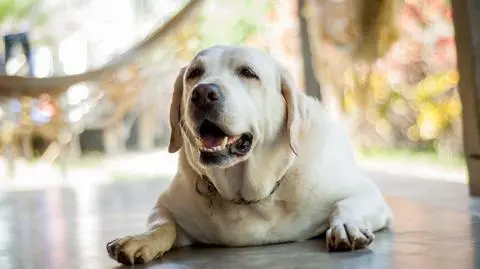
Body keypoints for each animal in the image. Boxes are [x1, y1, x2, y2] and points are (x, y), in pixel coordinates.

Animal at [107, 45, 392, 264]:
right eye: (194, 73)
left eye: (248, 73)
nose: (203, 93)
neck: (250, 196)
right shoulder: (165, 206)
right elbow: (162, 224)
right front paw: (140, 239)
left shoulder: (368, 194)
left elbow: (345, 205)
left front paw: (347, 226)